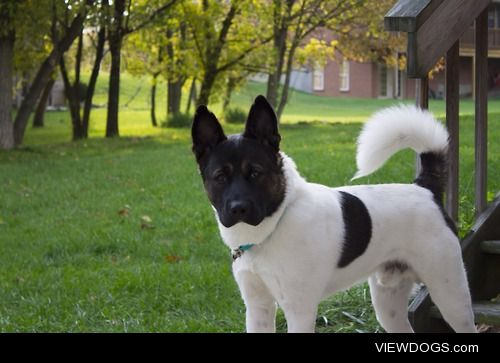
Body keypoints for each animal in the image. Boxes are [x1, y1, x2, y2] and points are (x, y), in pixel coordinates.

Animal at [191, 96, 476, 332]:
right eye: (220, 176)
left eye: (255, 172)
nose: (238, 209)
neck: (275, 224)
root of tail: (424, 188)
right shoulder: (257, 307)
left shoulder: (299, 310)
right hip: (388, 305)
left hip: (451, 296)